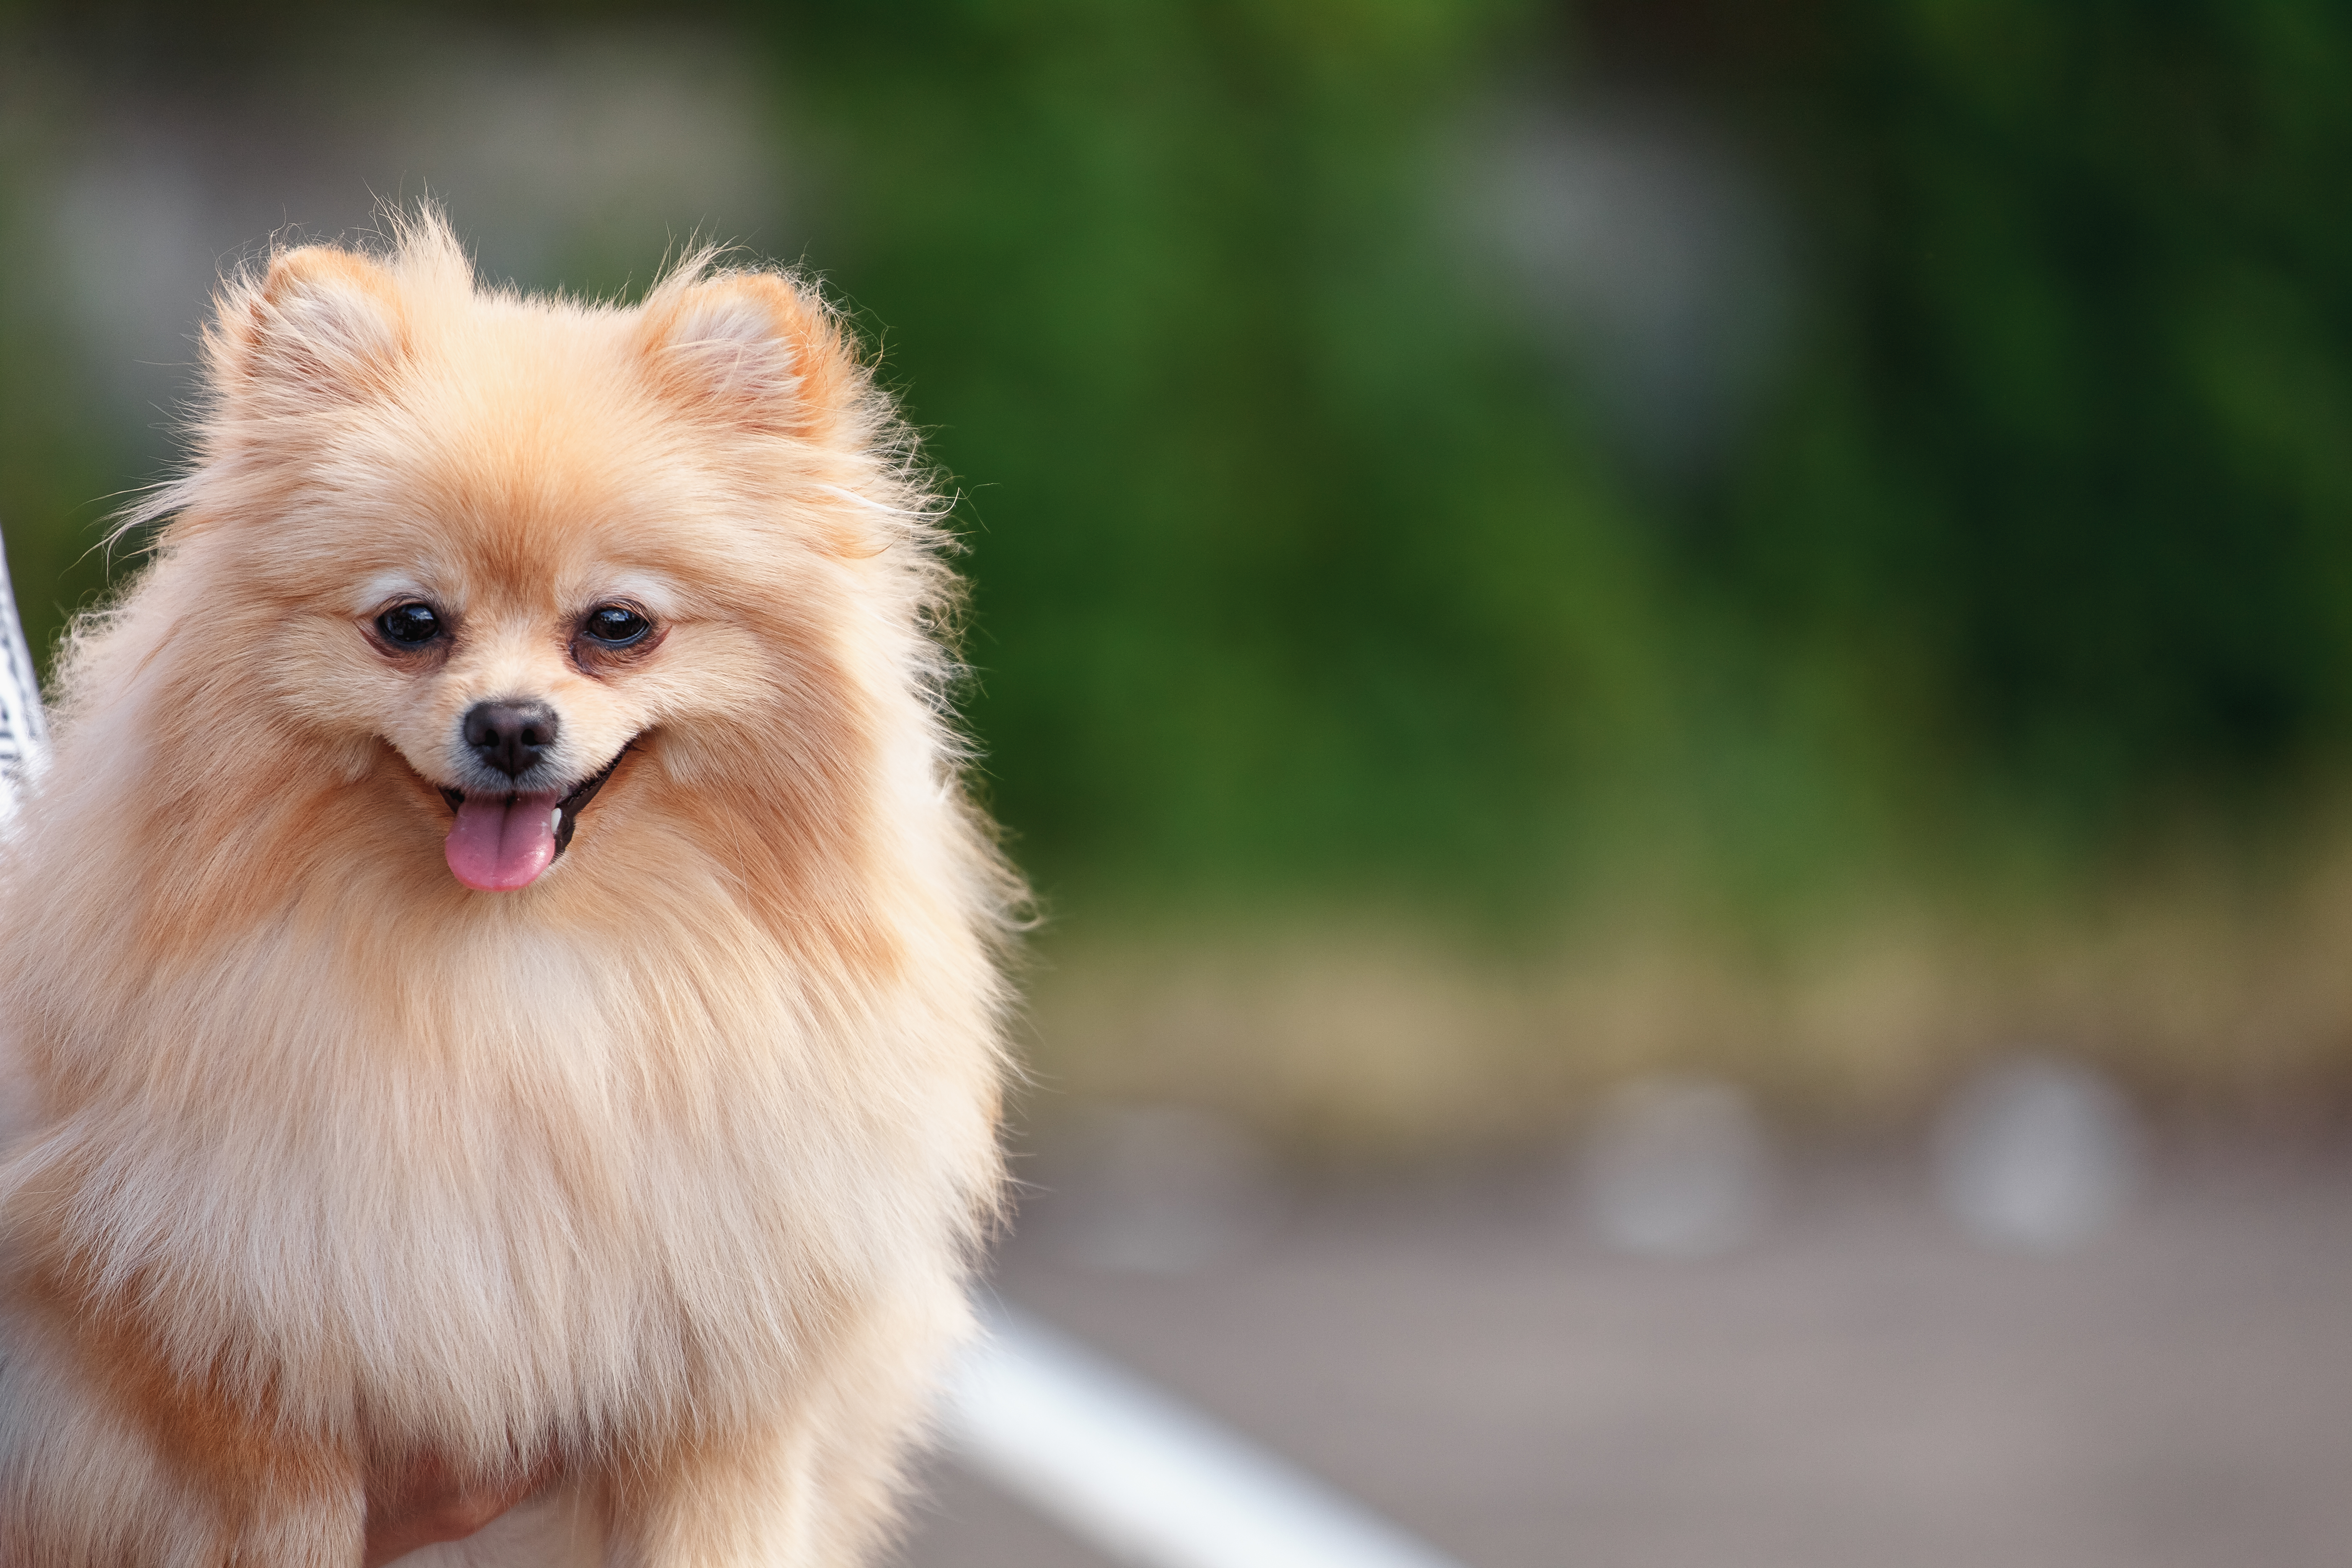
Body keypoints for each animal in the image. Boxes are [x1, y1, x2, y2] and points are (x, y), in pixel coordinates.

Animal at [0, 211, 1016, 1568]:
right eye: (410, 622)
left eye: (618, 625)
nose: (511, 723)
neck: (517, 968)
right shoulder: (242, 1379)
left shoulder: (720, 1408)